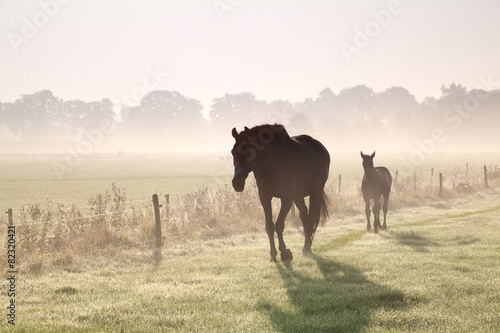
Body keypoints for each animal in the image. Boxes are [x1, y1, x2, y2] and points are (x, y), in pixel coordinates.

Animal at [231, 123, 332, 260]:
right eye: (233, 152)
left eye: (247, 151)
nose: (237, 183)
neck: (272, 162)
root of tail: (321, 148)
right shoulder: (265, 197)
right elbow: (269, 226)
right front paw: (273, 254)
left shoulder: (287, 198)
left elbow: (279, 225)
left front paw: (284, 252)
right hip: (298, 196)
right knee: (304, 215)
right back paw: (307, 246)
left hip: (316, 192)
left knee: (310, 218)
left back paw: (306, 248)